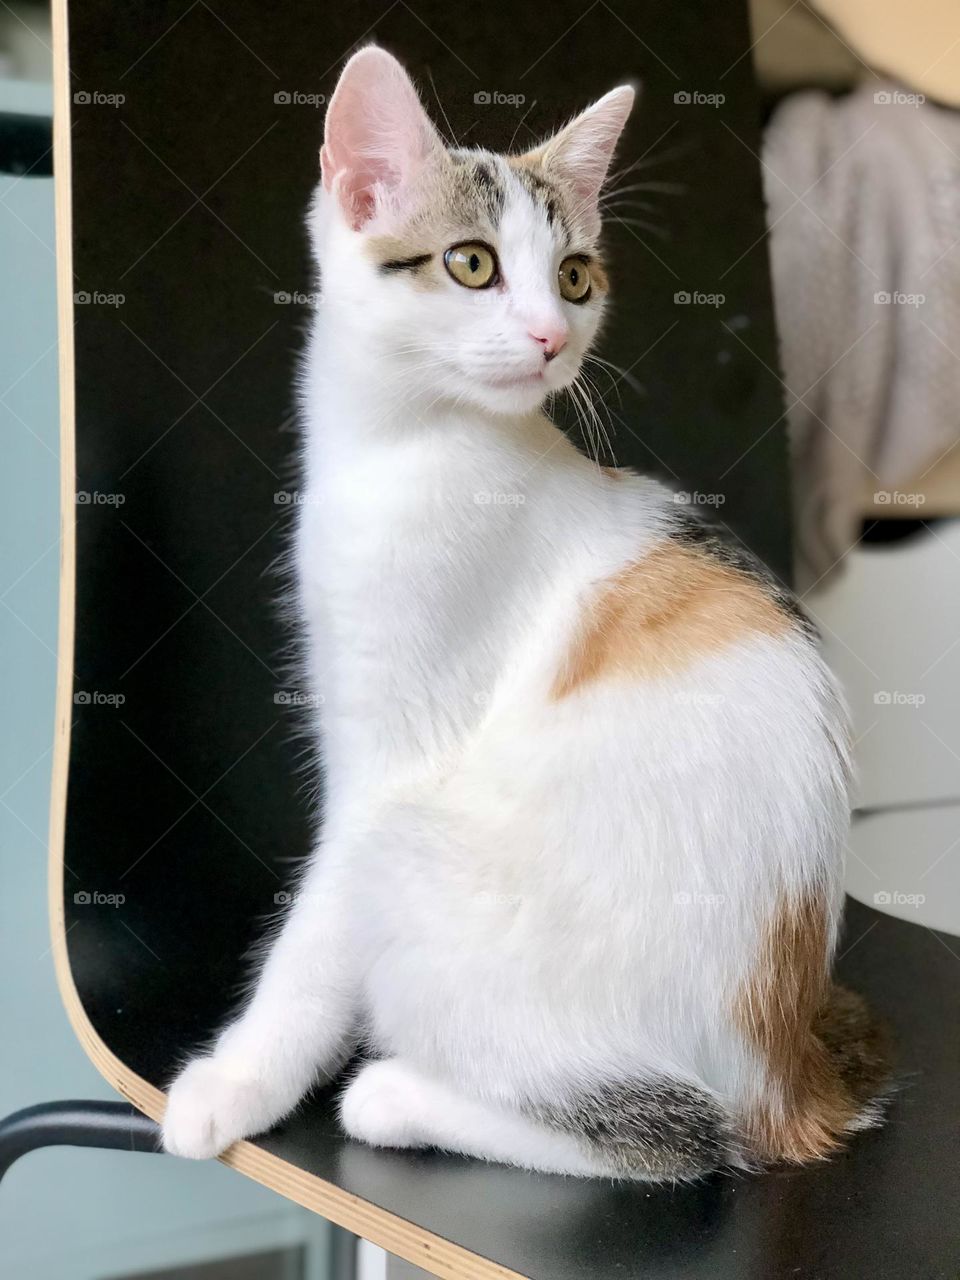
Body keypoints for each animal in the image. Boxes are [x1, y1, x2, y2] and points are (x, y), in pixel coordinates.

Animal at [163, 40, 896, 1177]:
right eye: (472, 264)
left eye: (575, 275)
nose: (553, 335)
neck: (410, 444)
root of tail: (788, 1075)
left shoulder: (392, 764)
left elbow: (315, 933)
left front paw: (236, 1079)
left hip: (429, 853)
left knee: (680, 1133)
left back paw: (396, 1095)